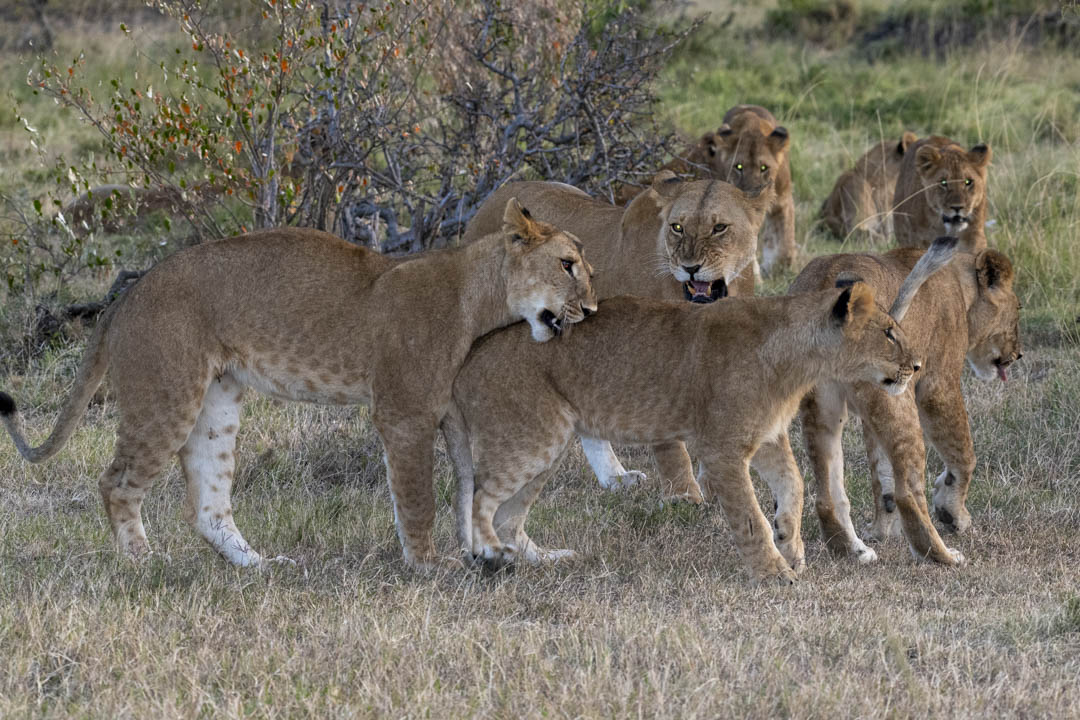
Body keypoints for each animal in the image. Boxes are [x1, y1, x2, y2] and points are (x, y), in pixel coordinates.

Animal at [0, 200, 597, 571]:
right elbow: (419, 496)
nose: (591, 311)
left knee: (208, 505)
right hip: (167, 395)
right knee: (117, 483)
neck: (479, 299)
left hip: (216, 404)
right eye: (567, 265)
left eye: (587, 269)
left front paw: (495, 553)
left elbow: (471, 491)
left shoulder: (450, 416)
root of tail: (127, 295)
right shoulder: (405, 412)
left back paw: (259, 566)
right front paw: (430, 565)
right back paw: (146, 564)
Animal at [441, 241, 957, 584]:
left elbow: (793, 485)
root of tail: (467, 360)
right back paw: (490, 556)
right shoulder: (723, 450)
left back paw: (539, 560)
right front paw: (775, 572)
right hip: (533, 440)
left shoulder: (765, 436)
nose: (916, 366)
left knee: (507, 516)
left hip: (547, 448)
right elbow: (749, 516)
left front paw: (792, 546)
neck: (800, 359)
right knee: (478, 499)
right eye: (888, 332)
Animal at [462, 172, 773, 498]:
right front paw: (683, 495)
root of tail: (493, 199)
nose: (690, 268)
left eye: (719, 227)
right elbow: (670, 445)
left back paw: (616, 479)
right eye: (677, 227)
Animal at [787, 239, 1021, 566]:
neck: (962, 286)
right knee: (908, 491)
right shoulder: (939, 385)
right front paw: (952, 513)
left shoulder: (873, 410)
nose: (1019, 354)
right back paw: (942, 555)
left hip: (824, 407)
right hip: (900, 395)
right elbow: (964, 453)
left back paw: (853, 551)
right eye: (1018, 310)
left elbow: (882, 475)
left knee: (826, 496)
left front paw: (882, 531)